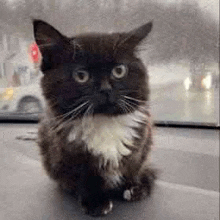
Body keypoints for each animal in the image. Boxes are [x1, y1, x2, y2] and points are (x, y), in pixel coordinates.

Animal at [34, 19, 156, 217]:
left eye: (119, 71)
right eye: (81, 75)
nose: (105, 89)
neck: (104, 121)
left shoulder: (141, 142)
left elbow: (133, 166)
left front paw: (132, 187)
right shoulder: (69, 152)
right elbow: (86, 177)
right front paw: (96, 202)